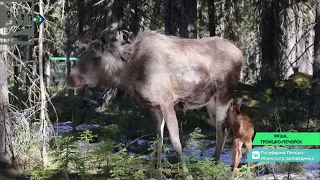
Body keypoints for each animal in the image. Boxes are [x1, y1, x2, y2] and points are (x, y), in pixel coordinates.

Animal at [67, 28, 242, 179]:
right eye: (81, 55)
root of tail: (240, 55)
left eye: (96, 57)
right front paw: (157, 172)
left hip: (224, 94)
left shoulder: (167, 101)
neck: (131, 75)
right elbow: (158, 140)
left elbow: (176, 142)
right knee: (223, 128)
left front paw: (187, 174)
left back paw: (216, 168)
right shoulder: (153, 106)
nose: (70, 80)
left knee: (223, 128)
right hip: (210, 101)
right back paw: (213, 164)